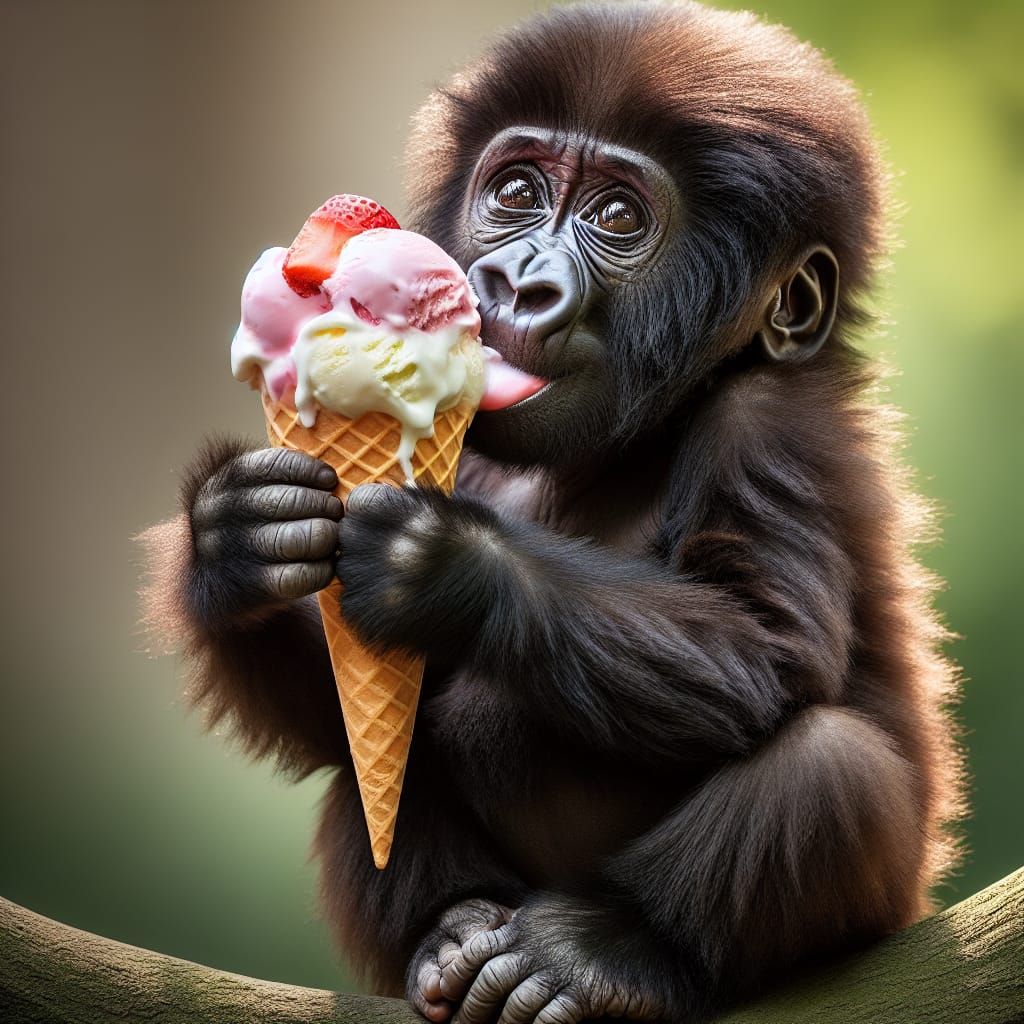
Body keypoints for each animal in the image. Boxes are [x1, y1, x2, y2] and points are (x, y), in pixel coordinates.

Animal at [141, 3, 964, 1021]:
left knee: (830, 766)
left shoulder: (776, 421)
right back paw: (450, 927)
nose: (515, 282)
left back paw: (603, 953)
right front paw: (232, 544)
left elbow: (767, 645)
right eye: (516, 192)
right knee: (363, 779)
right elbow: (332, 713)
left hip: (886, 907)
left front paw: (448, 566)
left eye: (617, 217)